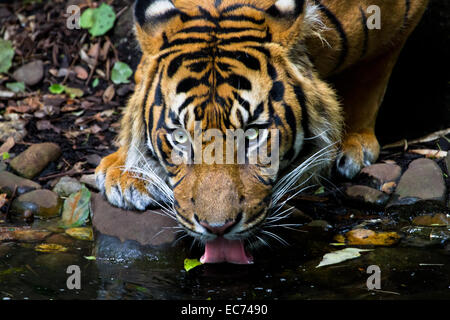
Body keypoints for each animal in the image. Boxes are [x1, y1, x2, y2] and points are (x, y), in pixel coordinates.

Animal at [96, 0, 428, 264]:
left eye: (253, 134)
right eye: (180, 137)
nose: (217, 228)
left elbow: (373, 76)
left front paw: (355, 140)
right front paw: (126, 172)